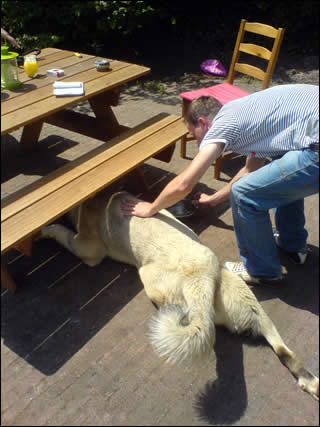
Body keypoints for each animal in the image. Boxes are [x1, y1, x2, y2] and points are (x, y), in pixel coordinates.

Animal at [41, 191, 318, 402]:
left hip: (150, 279)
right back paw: (309, 381)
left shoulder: (88, 248)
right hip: (246, 301)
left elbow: (65, 235)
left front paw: (49, 228)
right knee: (282, 347)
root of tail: (202, 276)